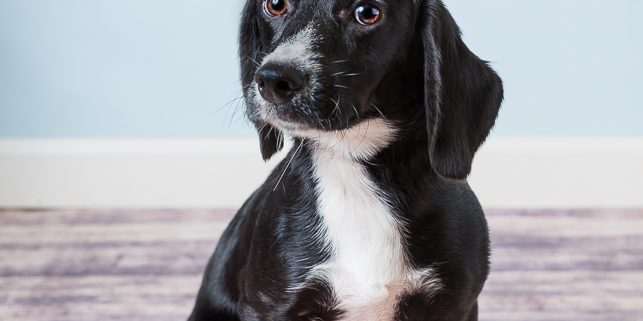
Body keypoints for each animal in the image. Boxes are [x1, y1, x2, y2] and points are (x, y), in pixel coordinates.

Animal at [189, 0, 506, 318]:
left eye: (367, 13)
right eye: (275, 5)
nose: (273, 79)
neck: (352, 170)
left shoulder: (455, 305)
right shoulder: (267, 304)